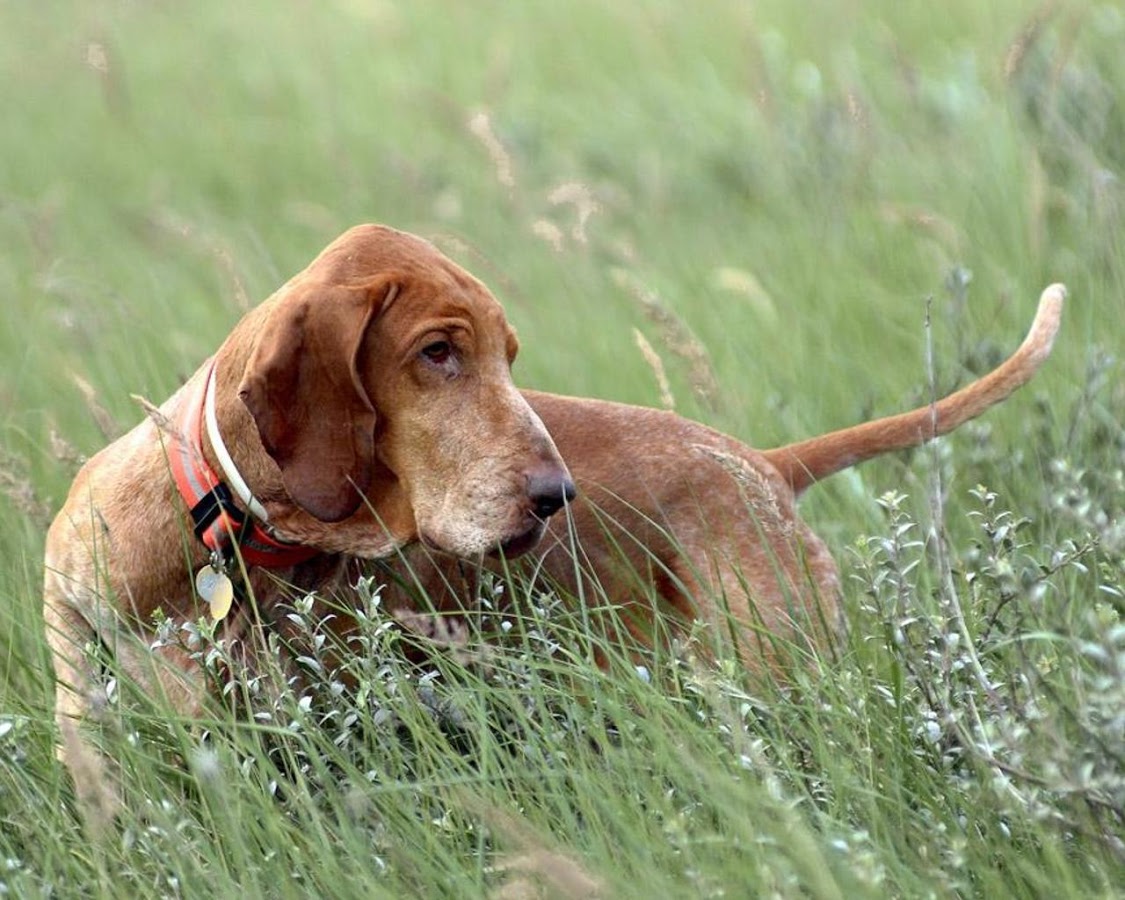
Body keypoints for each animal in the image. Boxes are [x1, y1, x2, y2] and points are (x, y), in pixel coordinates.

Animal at [42, 225, 576, 828]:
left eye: (508, 358)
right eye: (437, 351)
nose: (557, 494)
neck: (235, 531)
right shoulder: (63, 584)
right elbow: (83, 721)